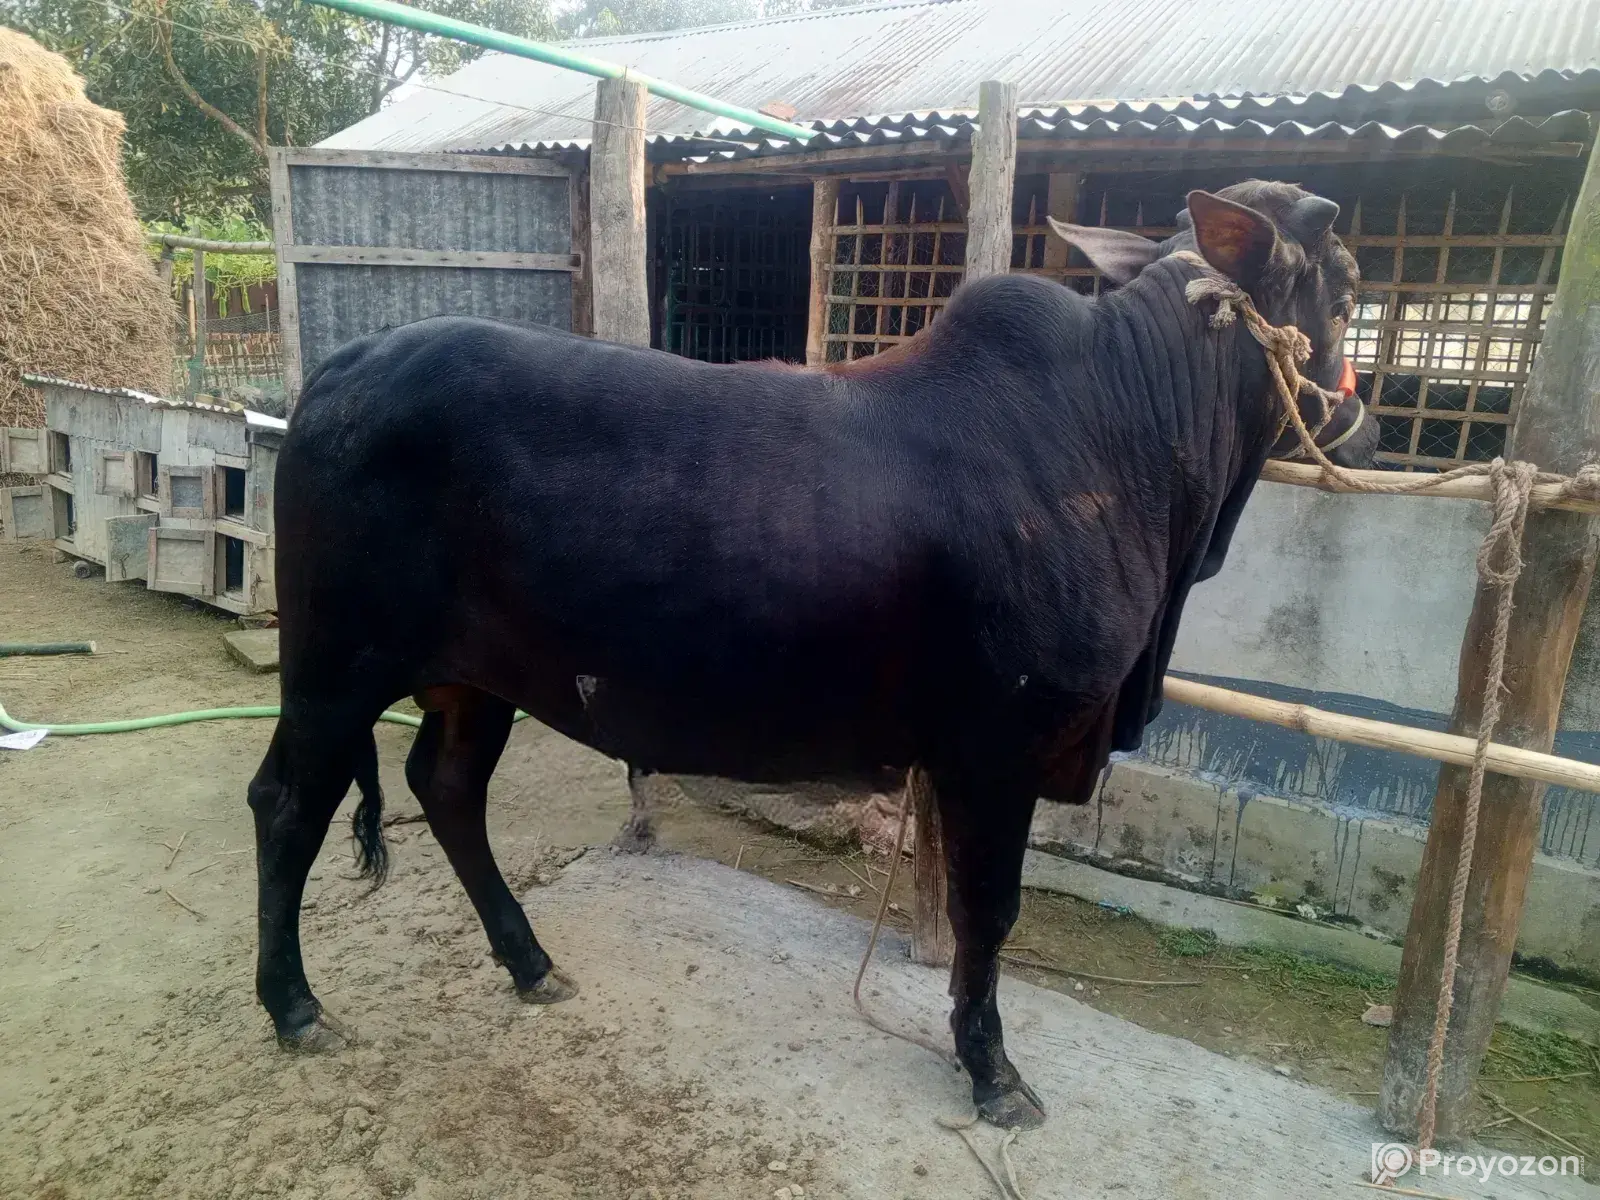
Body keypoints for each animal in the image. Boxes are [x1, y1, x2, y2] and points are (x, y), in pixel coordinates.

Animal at [247, 180, 1375, 1130]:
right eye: (1351, 283)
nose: (1364, 419)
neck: (1132, 440)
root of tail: (341, 369)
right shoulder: (998, 747)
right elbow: (988, 911)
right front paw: (992, 1072)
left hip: (474, 680)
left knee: (445, 788)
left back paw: (529, 962)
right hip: (333, 665)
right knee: (289, 805)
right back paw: (296, 1007)